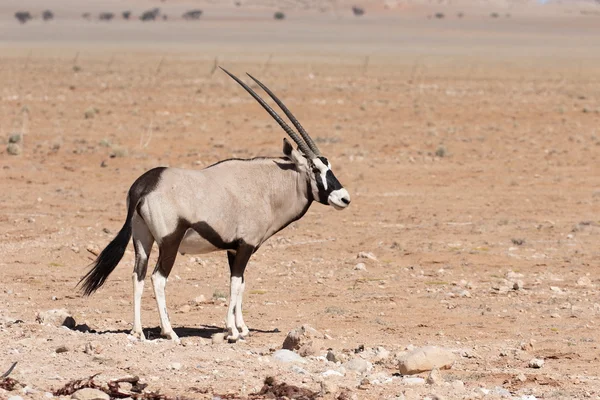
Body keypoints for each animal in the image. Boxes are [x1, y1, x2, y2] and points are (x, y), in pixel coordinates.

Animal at [79, 67, 352, 342]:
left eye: (328, 165)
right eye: (315, 169)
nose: (344, 198)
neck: (267, 186)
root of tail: (145, 184)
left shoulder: (234, 249)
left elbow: (240, 284)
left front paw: (242, 327)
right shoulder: (245, 246)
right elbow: (235, 283)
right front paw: (232, 331)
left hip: (142, 240)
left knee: (138, 275)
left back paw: (138, 332)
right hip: (169, 241)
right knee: (158, 278)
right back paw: (169, 332)